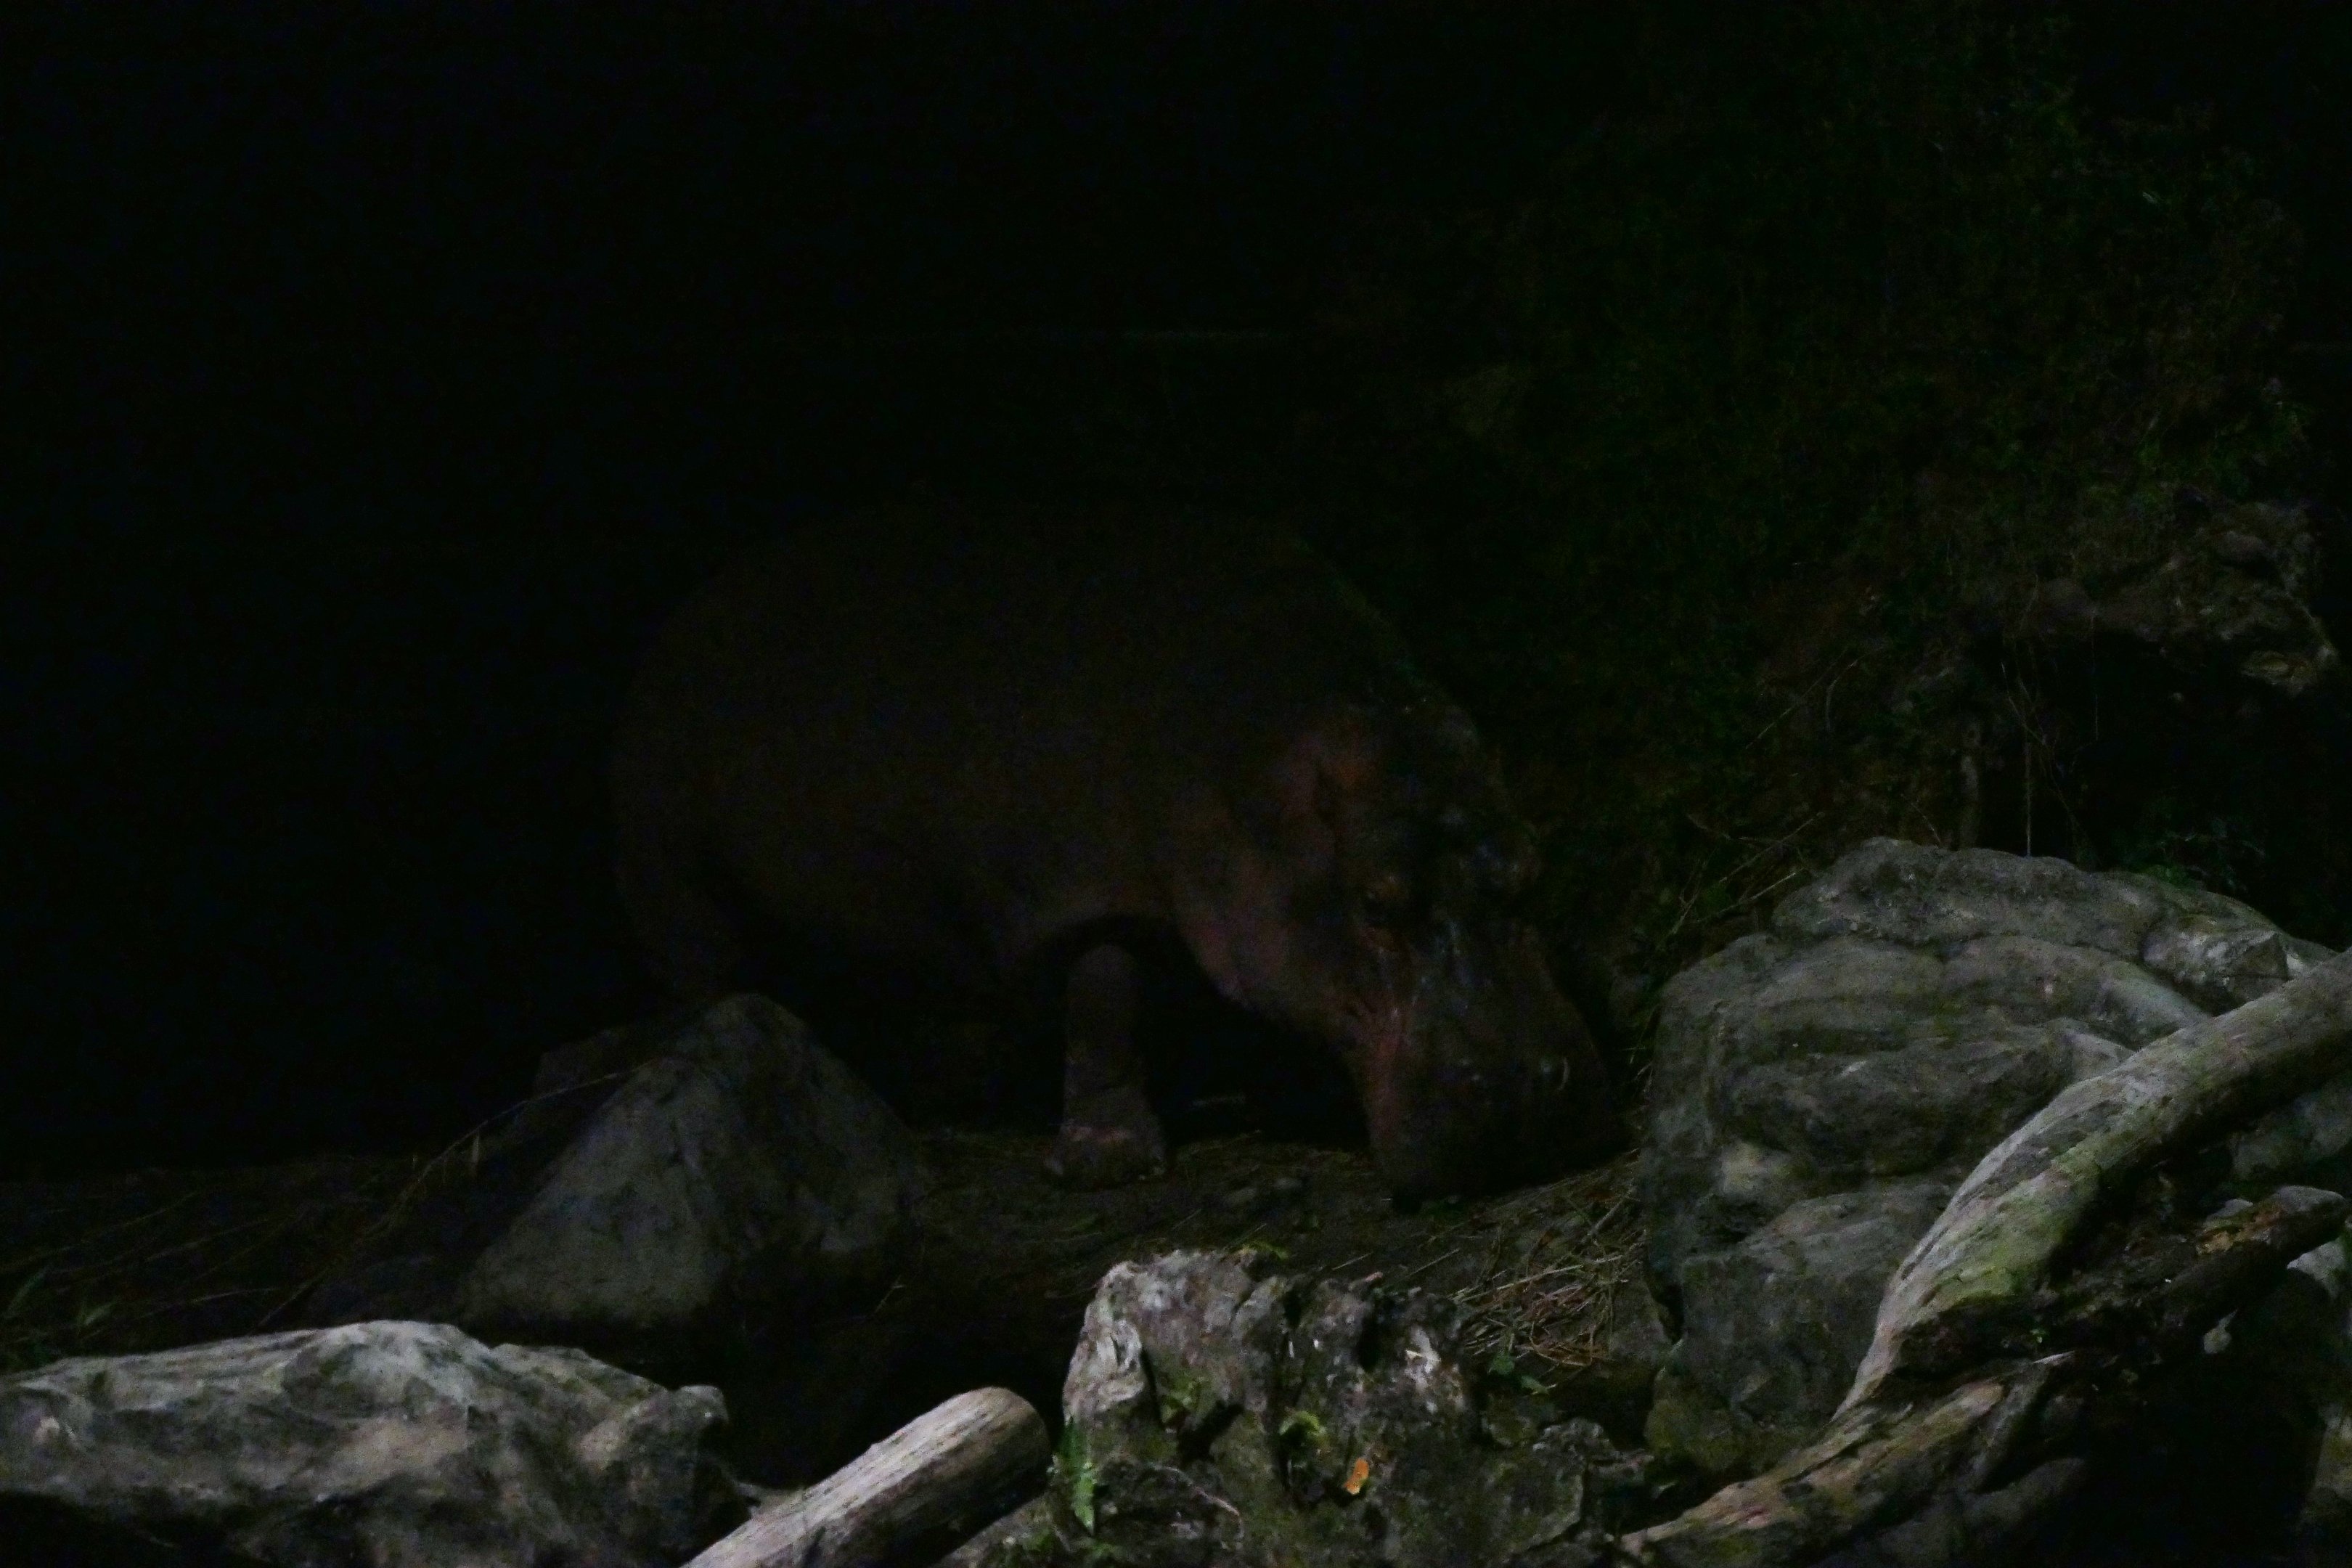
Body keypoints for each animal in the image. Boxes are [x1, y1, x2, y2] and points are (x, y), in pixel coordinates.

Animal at [609, 504, 1617, 1199]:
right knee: (703, 964)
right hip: (668, 867)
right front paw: (1111, 1163)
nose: (1526, 1089)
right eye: (1375, 900)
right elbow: (1104, 1002)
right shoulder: (1082, 893)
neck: (1258, 763)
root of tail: (680, 616)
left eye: (1531, 861)